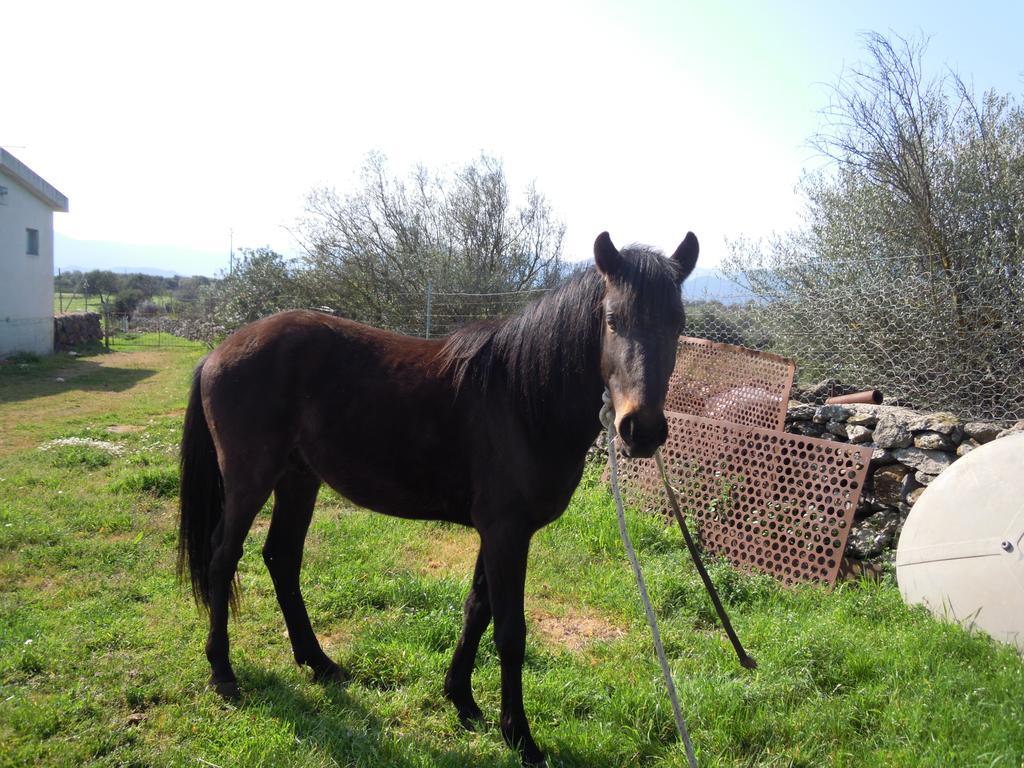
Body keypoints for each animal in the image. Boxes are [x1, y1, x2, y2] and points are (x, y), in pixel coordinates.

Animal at [180, 231, 700, 765]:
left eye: (678, 324)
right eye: (613, 319)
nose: (641, 430)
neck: (522, 399)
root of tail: (220, 351)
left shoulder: (499, 533)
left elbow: (477, 609)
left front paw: (462, 699)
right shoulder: (506, 532)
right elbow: (510, 631)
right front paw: (520, 736)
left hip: (298, 480)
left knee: (281, 558)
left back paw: (319, 662)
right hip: (249, 480)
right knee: (223, 559)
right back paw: (223, 672)